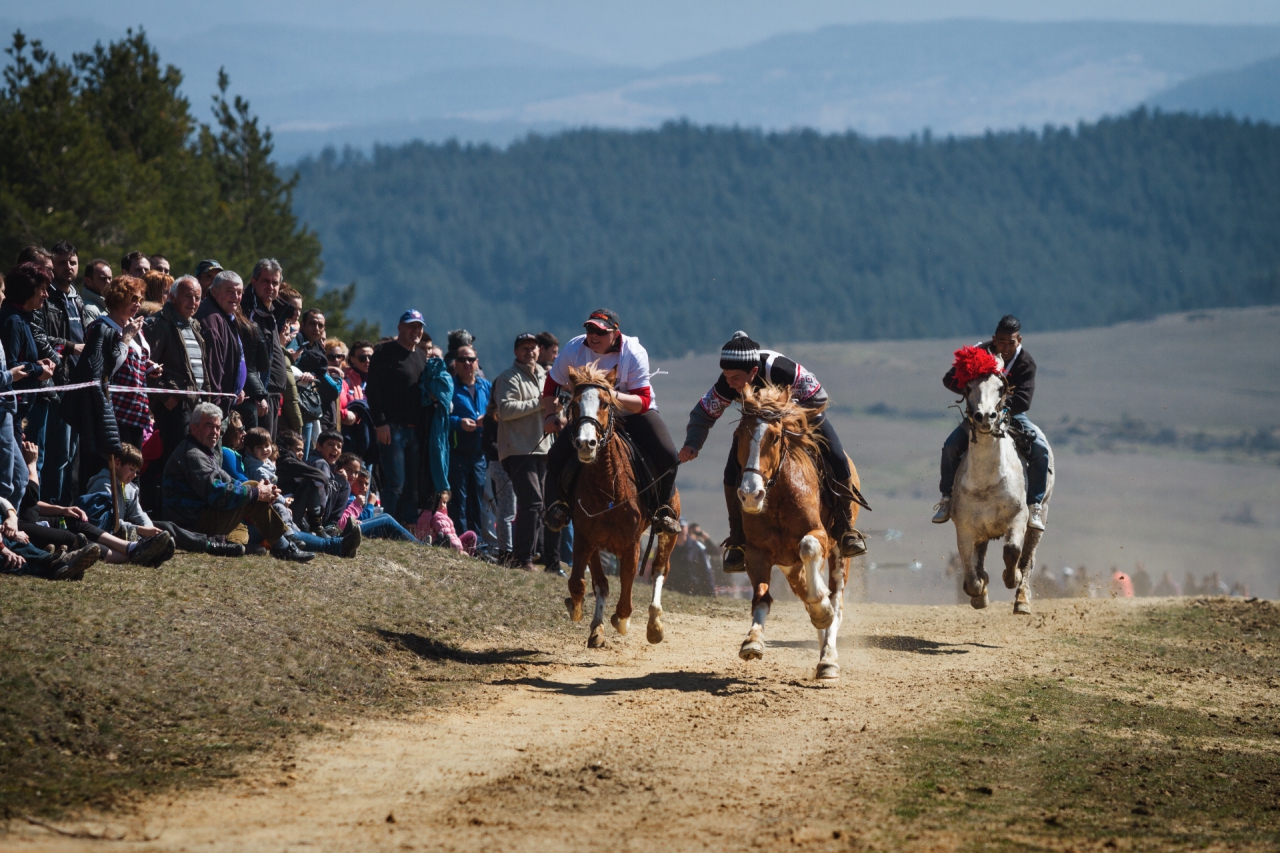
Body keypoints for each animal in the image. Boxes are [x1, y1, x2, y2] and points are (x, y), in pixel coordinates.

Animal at [560, 361, 680, 648]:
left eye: (605, 403)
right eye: (574, 404)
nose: (586, 443)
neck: (607, 485)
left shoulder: (631, 545)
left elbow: (626, 595)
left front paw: (621, 621)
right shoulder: (586, 538)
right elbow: (583, 583)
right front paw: (585, 616)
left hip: (667, 533)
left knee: (659, 570)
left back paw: (654, 624)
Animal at [732, 384, 860, 676]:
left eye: (775, 437)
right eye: (738, 436)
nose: (750, 495)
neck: (779, 495)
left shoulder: (818, 535)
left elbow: (809, 547)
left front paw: (822, 611)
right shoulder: (757, 552)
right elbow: (761, 597)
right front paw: (752, 641)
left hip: (839, 554)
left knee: (836, 601)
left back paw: (828, 658)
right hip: (790, 567)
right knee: (805, 591)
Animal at [947, 361, 1054, 612]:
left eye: (1000, 387)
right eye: (968, 386)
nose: (985, 416)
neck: (987, 480)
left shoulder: (1017, 518)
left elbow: (1013, 551)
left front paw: (1011, 577)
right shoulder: (964, 529)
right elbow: (971, 572)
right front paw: (979, 591)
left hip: (1040, 517)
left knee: (1028, 558)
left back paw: (1022, 600)